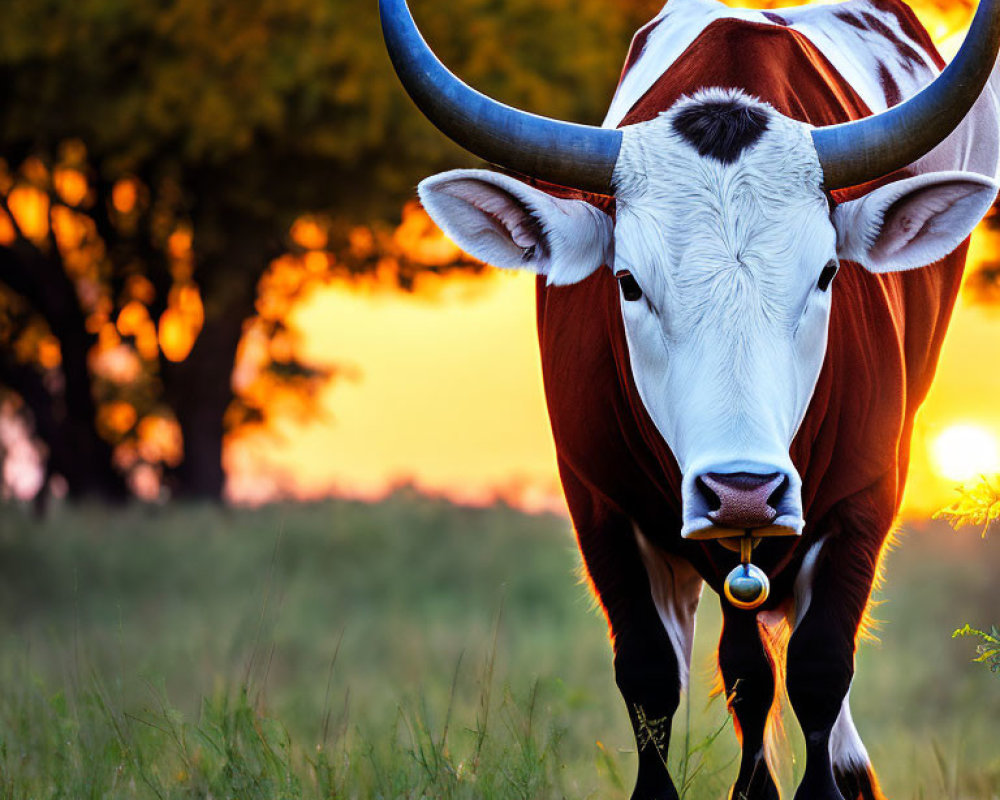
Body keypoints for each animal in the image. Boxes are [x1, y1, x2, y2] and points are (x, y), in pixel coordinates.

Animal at [380, 0, 1000, 796]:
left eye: (828, 273)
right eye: (627, 282)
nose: (743, 490)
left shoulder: (865, 499)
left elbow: (820, 669)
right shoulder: (600, 505)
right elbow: (653, 678)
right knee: (745, 669)